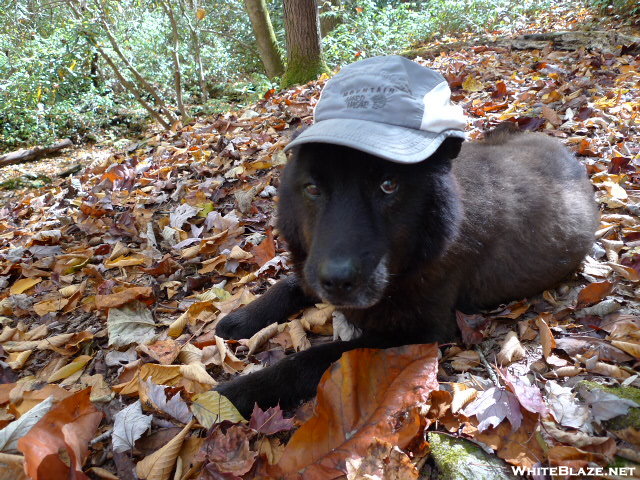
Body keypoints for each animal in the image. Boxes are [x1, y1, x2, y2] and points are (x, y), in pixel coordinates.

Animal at [215, 55, 600, 416]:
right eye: (312, 189)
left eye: (389, 185)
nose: (338, 281)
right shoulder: (314, 266)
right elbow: (289, 284)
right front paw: (241, 319)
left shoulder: (415, 333)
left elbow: (308, 360)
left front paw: (232, 395)